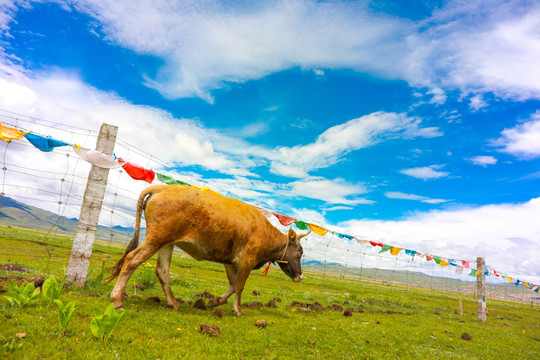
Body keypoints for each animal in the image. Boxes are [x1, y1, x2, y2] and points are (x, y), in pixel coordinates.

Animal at [107, 186, 306, 316]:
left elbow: (233, 285)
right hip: (156, 238)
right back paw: (116, 299)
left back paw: (173, 303)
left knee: (162, 271)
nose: (301, 276)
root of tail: (161, 187)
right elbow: (240, 286)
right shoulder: (247, 260)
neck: (265, 232)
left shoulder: (231, 262)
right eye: (300, 252)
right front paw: (238, 310)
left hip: (166, 242)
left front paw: (215, 301)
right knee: (132, 260)